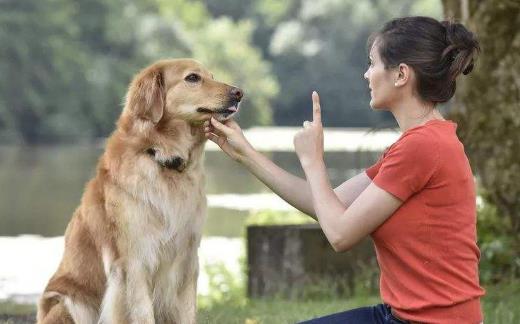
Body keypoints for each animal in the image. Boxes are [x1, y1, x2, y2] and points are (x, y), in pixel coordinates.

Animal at [36, 58, 244, 324]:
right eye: (193, 78)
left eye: (212, 76)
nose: (239, 93)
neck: (161, 157)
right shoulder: (134, 262)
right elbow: (142, 313)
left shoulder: (187, 260)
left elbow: (187, 313)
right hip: (69, 303)